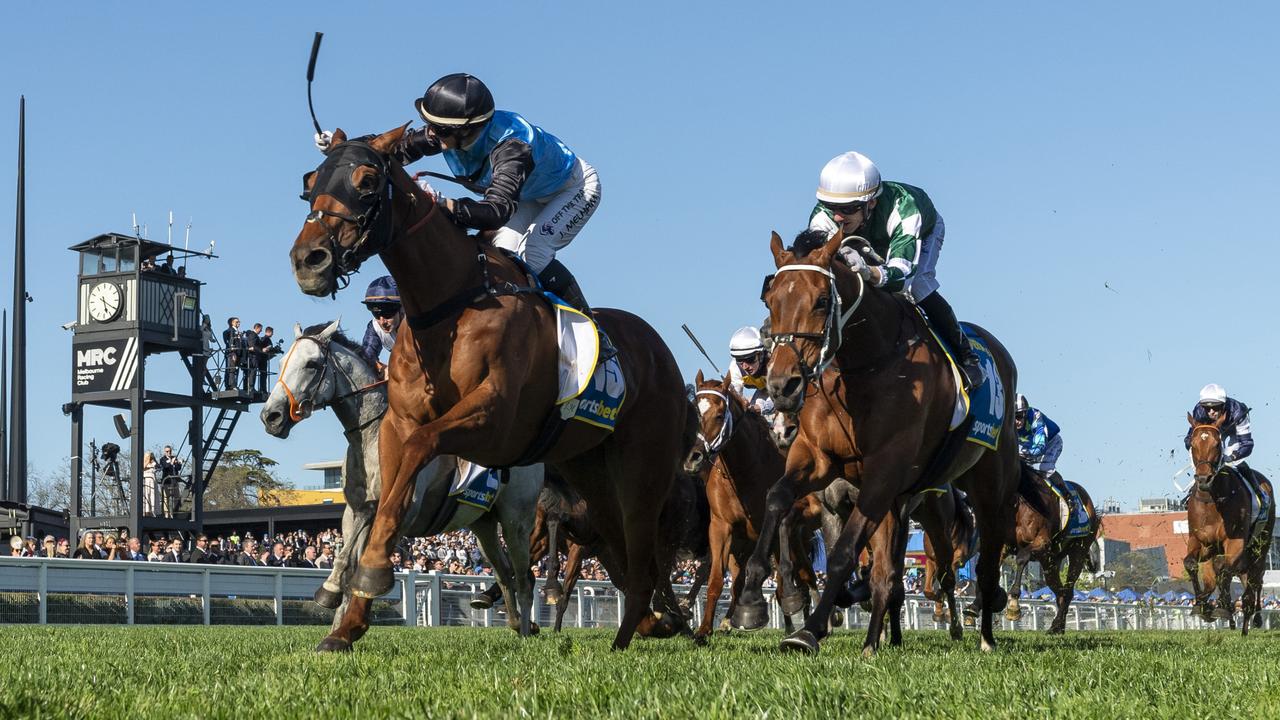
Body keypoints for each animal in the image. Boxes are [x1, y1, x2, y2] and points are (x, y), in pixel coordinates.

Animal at [259, 320, 543, 637]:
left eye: (312, 363)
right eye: (281, 362)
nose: (271, 416)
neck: (372, 437)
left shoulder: (399, 512)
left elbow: (357, 564)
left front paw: (333, 598)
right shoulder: (351, 513)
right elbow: (348, 559)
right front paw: (336, 626)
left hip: (516, 520)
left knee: (523, 578)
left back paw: (527, 630)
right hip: (483, 525)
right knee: (505, 572)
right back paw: (517, 623)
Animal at [290, 128, 696, 651]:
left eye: (365, 181)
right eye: (310, 183)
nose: (308, 260)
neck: (450, 306)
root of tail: (660, 351)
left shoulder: (492, 420)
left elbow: (417, 455)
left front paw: (369, 580)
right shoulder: (398, 426)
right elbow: (387, 507)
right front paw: (347, 622)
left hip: (640, 468)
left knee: (636, 555)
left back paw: (632, 632)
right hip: (590, 472)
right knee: (616, 551)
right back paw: (650, 622)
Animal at [731, 229, 1021, 655]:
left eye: (822, 300)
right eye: (770, 300)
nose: (783, 385)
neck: (864, 363)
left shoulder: (884, 471)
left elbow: (844, 552)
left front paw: (809, 630)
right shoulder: (818, 458)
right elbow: (777, 498)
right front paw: (754, 598)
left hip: (988, 485)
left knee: (981, 563)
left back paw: (983, 634)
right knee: (891, 571)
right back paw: (878, 636)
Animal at [1002, 470, 1099, 634]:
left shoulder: (1042, 542)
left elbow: (1021, 558)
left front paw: (1013, 605)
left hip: (1078, 551)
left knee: (1067, 591)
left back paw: (1056, 625)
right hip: (1051, 560)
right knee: (1060, 592)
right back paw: (1058, 626)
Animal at [1184, 415, 1275, 634]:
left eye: (1217, 444)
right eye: (1193, 444)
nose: (1203, 478)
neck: (1212, 500)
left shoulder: (1235, 543)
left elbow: (1224, 570)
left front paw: (1222, 607)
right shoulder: (1200, 541)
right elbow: (1192, 564)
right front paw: (1202, 604)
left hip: (1261, 547)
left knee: (1254, 583)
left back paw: (1251, 619)